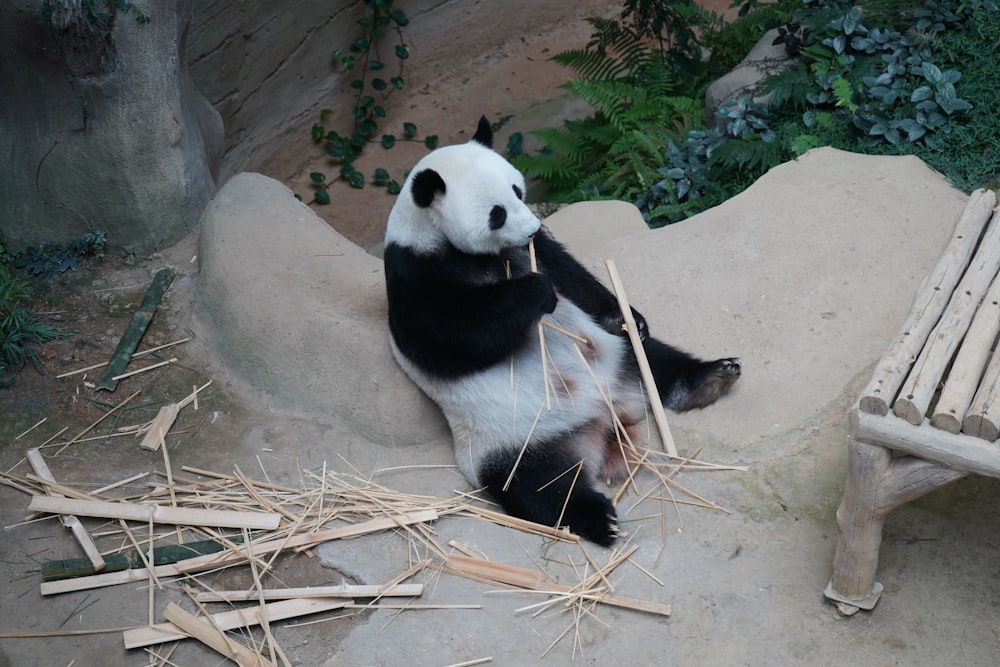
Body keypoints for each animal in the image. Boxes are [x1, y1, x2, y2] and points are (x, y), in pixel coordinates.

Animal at [384, 117, 744, 544]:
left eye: (517, 189)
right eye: (496, 213)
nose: (532, 226)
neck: (437, 237)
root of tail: (606, 418)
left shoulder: (534, 251)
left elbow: (570, 274)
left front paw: (627, 315)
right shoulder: (414, 273)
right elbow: (451, 336)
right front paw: (534, 293)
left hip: (618, 359)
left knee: (655, 360)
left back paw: (710, 377)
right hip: (507, 442)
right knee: (539, 487)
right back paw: (598, 519)